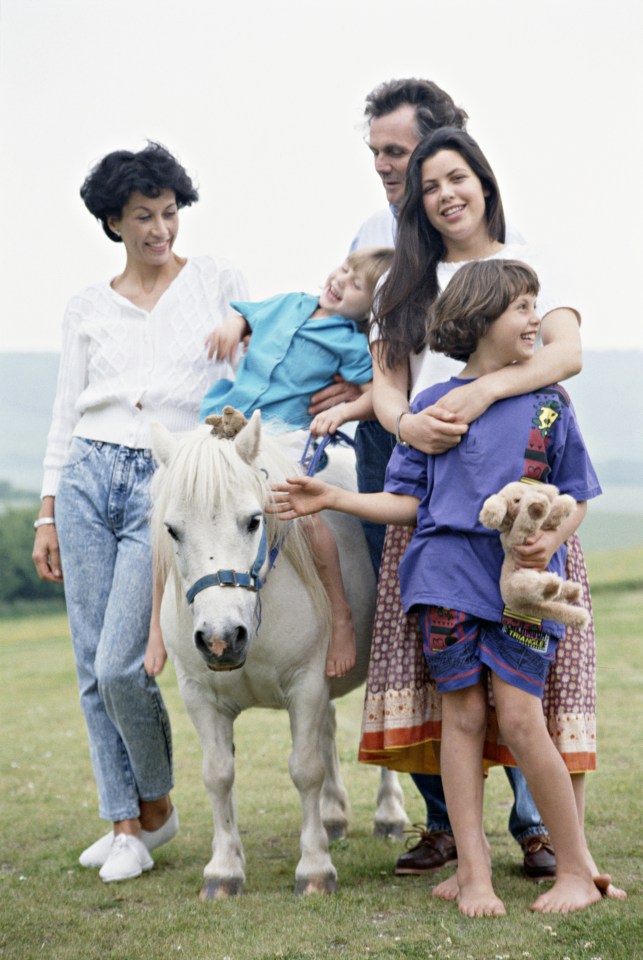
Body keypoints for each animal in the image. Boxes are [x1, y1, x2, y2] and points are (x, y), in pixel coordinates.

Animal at [150, 414, 408, 900]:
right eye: (173, 530)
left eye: (253, 520)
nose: (220, 639)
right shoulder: (199, 696)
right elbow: (218, 775)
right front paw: (223, 871)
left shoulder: (306, 683)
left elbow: (305, 770)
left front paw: (315, 869)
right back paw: (333, 816)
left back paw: (389, 815)